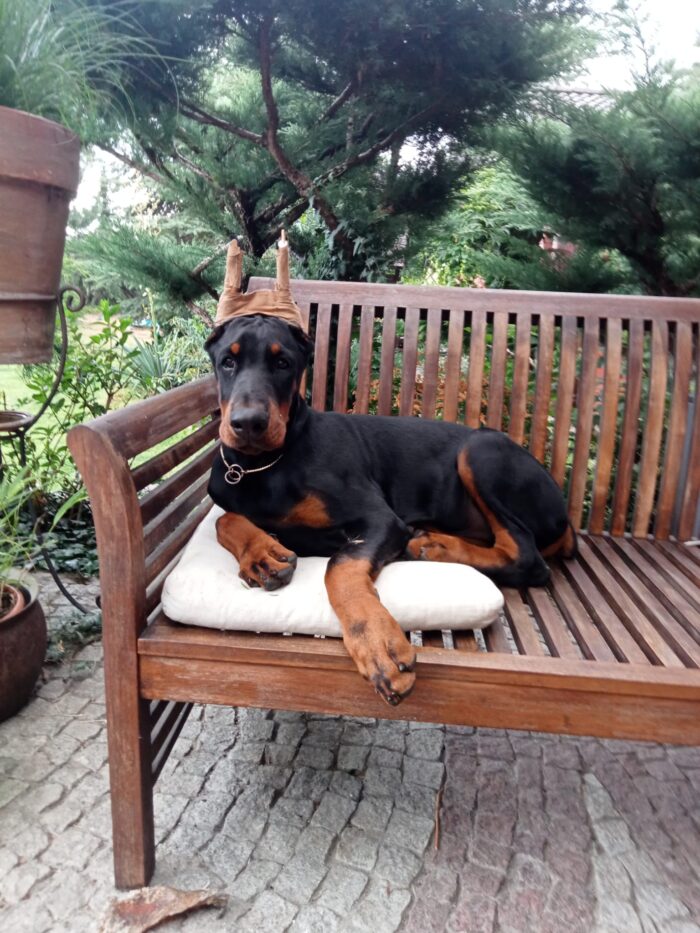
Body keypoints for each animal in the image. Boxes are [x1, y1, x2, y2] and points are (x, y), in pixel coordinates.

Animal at [205, 312, 576, 707]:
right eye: (227, 362)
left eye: (282, 363)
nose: (248, 423)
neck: (263, 465)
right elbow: (225, 518)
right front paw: (262, 554)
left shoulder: (380, 519)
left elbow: (341, 566)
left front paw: (378, 645)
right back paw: (434, 545)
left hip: (480, 449)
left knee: (525, 556)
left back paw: (433, 548)